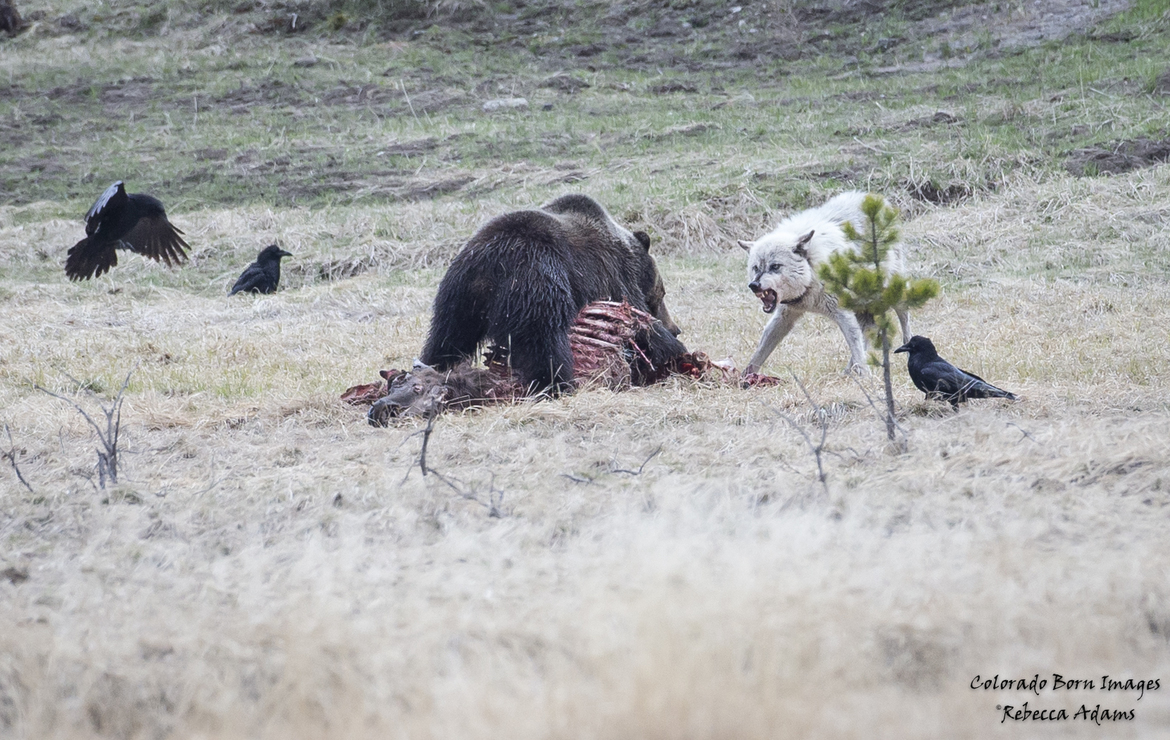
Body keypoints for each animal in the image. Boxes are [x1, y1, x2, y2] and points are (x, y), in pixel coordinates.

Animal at [420, 194, 686, 393]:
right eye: (661, 294)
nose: (676, 328)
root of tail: (489, 264)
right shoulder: (616, 279)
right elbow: (639, 325)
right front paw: (673, 351)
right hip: (537, 279)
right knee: (543, 339)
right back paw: (557, 383)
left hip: (458, 297)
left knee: (447, 337)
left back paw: (435, 369)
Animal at [738, 191, 912, 375]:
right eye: (756, 268)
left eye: (775, 266)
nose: (754, 285)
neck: (813, 272)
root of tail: (877, 199)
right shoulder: (784, 316)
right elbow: (759, 353)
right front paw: (744, 377)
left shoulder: (842, 313)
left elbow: (855, 344)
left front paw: (865, 376)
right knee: (868, 329)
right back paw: (848, 371)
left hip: (893, 295)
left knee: (904, 321)